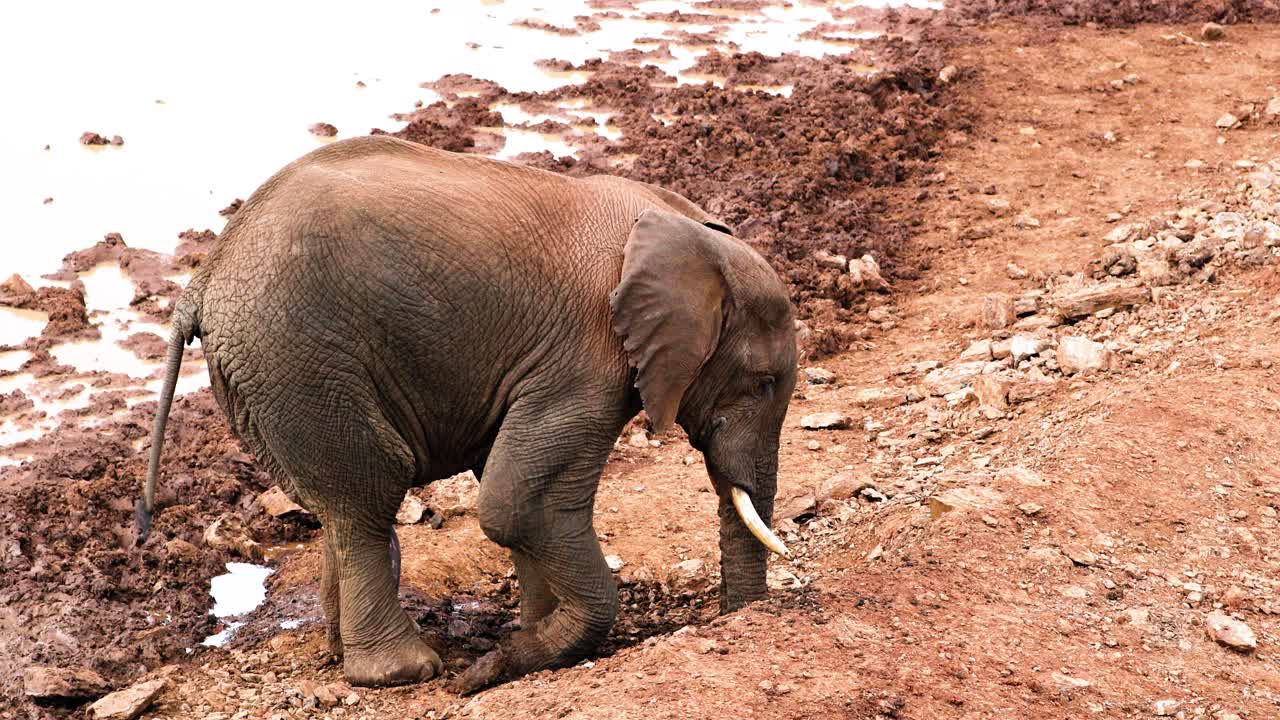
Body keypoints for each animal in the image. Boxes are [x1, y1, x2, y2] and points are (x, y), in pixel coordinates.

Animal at [136, 134, 797, 694]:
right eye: (763, 383)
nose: (739, 616)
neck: (688, 233)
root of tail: (204, 278)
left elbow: (517, 495)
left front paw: (528, 638)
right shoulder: (587, 355)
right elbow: (518, 504)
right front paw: (504, 662)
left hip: (265, 374)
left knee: (339, 506)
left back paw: (343, 652)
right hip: (298, 358)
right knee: (369, 495)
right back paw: (405, 672)